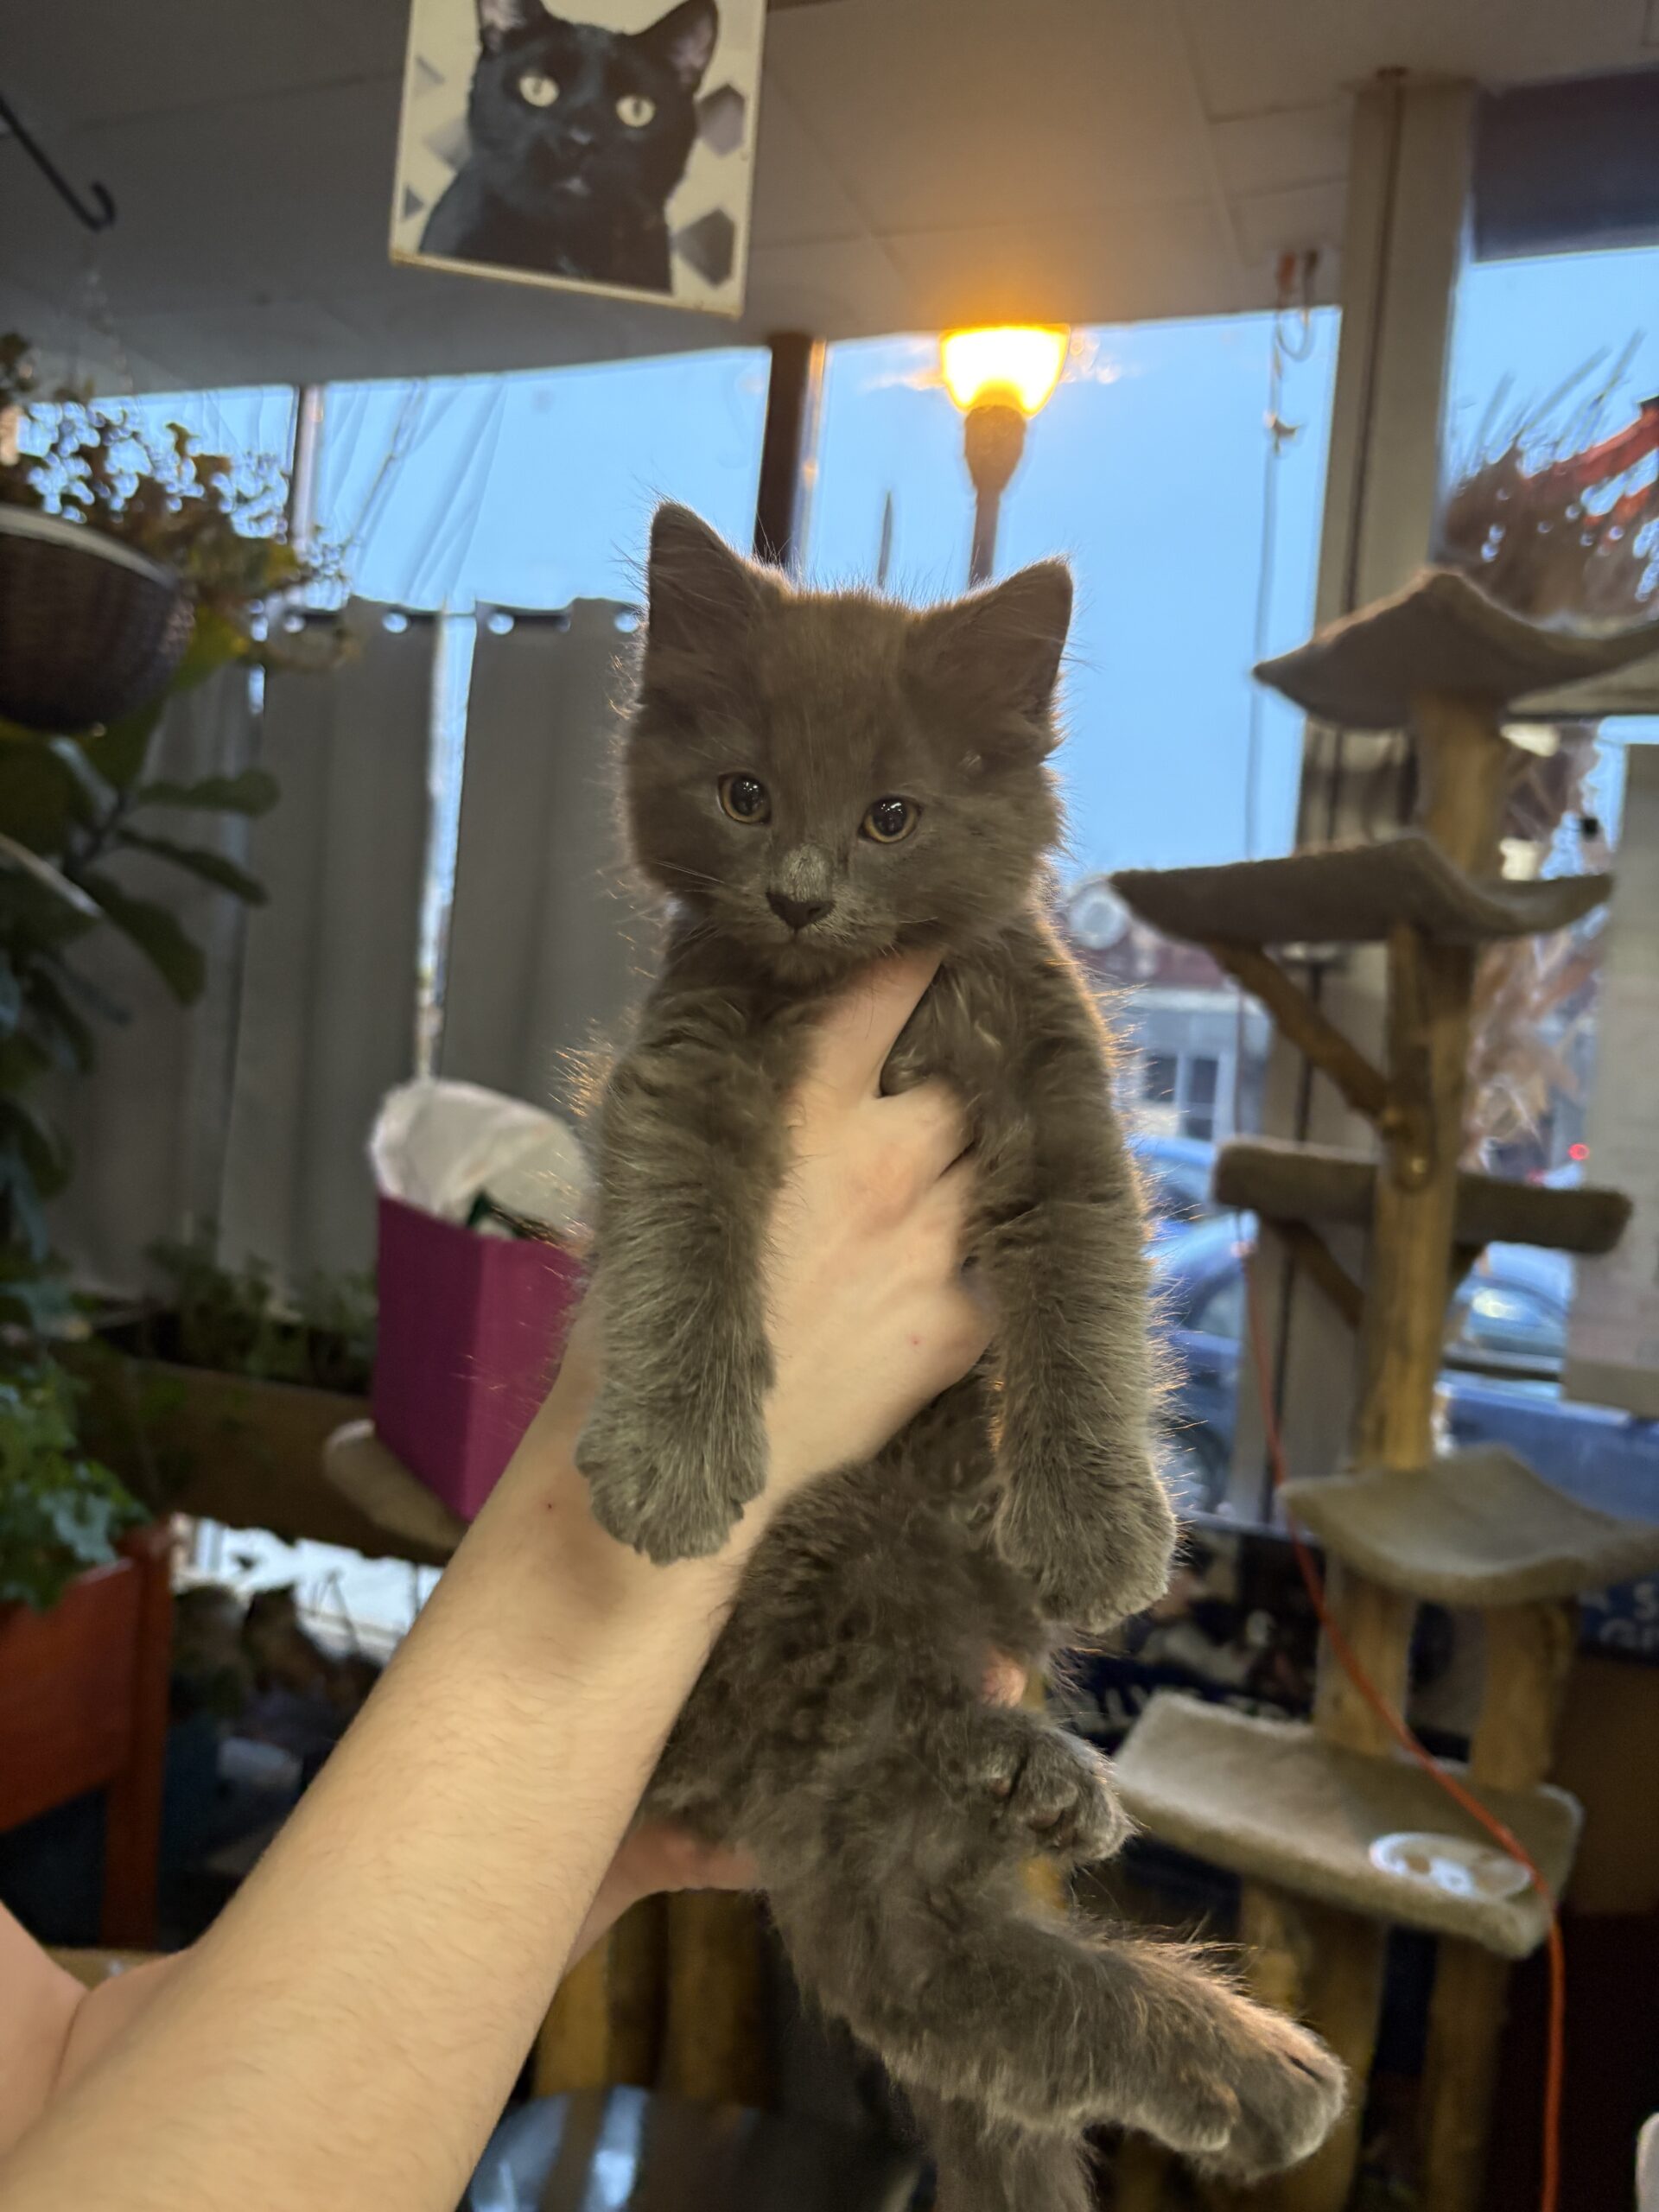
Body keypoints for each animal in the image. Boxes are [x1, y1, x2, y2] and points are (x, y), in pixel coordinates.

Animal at [576, 506, 1347, 2201]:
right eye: (745, 796)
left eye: (890, 817)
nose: (801, 896)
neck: (860, 996)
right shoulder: (684, 1066)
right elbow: (680, 1235)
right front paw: (669, 1456)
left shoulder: (1061, 1093)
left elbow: (1086, 1308)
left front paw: (1100, 1523)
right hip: (823, 1588)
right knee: (923, 1915)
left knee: (964, 1977)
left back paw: (1228, 2036)